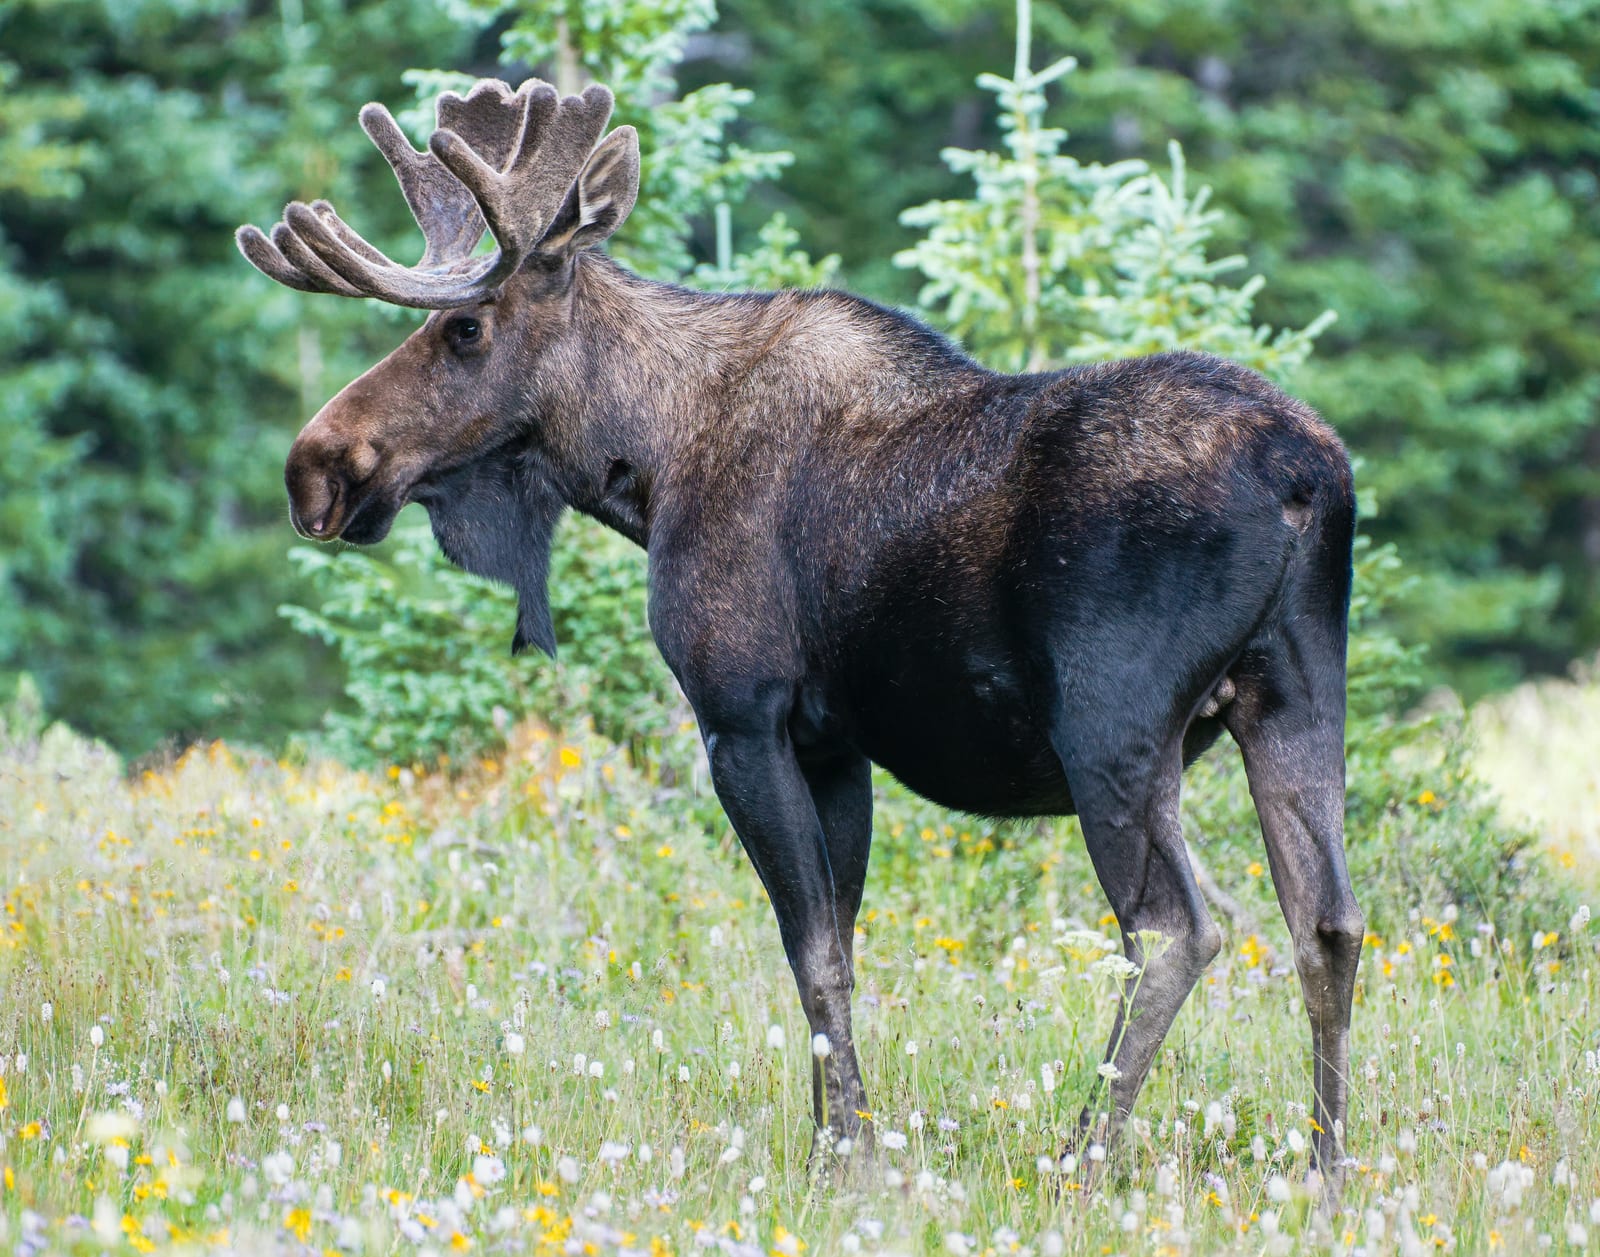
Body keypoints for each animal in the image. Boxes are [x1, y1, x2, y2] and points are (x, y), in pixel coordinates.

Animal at [238, 77, 1363, 1183]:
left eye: (464, 329)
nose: (314, 467)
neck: (647, 461)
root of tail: (1309, 478)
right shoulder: (835, 743)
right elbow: (842, 945)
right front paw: (840, 1136)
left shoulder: (745, 715)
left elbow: (811, 950)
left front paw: (843, 1156)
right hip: (1294, 695)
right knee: (1329, 921)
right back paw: (1325, 1163)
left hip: (1112, 724)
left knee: (1174, 929)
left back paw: (1081, 1155)